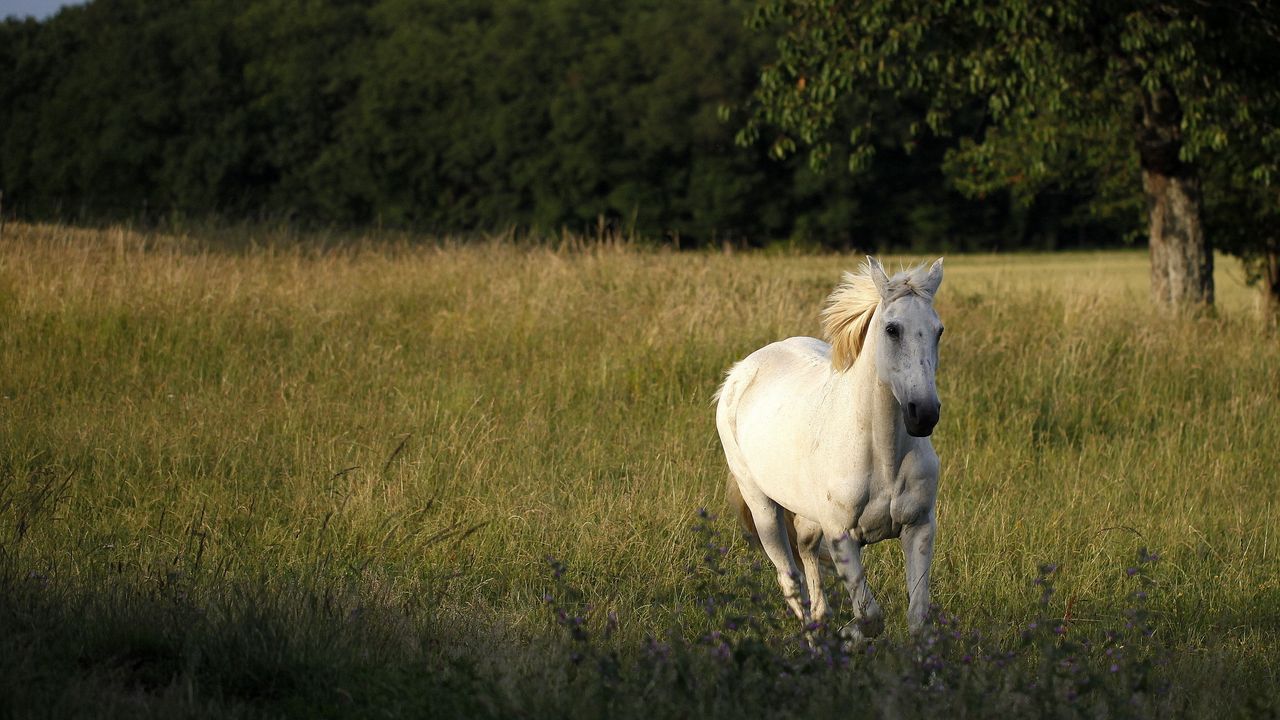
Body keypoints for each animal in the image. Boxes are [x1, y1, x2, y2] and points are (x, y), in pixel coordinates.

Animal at [721, 257, 942, 638]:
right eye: (892, 329)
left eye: (938, 330)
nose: (924, 414)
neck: (883, 457)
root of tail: (738, 374)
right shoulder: (841, 534)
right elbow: (870, 618)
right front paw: (846, 637)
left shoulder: (919, 527)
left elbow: (916, 618)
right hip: (762, 507)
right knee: (790, 581)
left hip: (808, 516)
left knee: (807, 555)